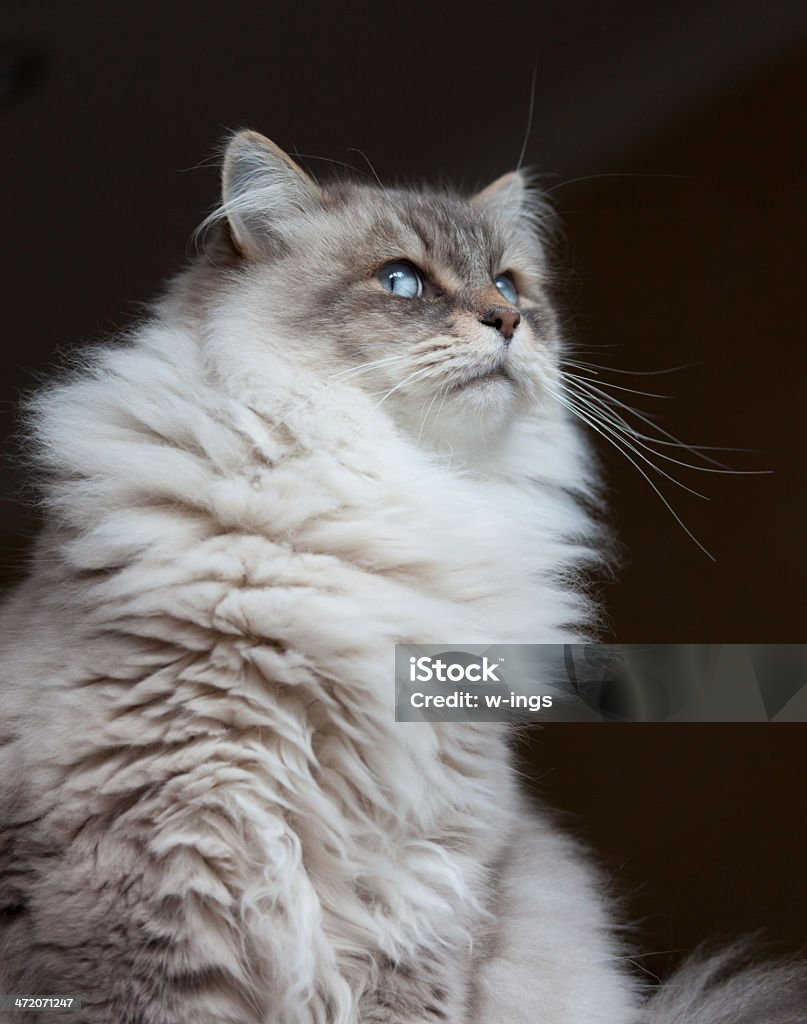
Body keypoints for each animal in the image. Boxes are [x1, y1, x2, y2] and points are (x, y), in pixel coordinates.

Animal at [0, 132, 802, 1019]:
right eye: (401, 282)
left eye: (508, 285)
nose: (507, 321)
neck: (399, 493)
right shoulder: (156, 885)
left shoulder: (422, 897)